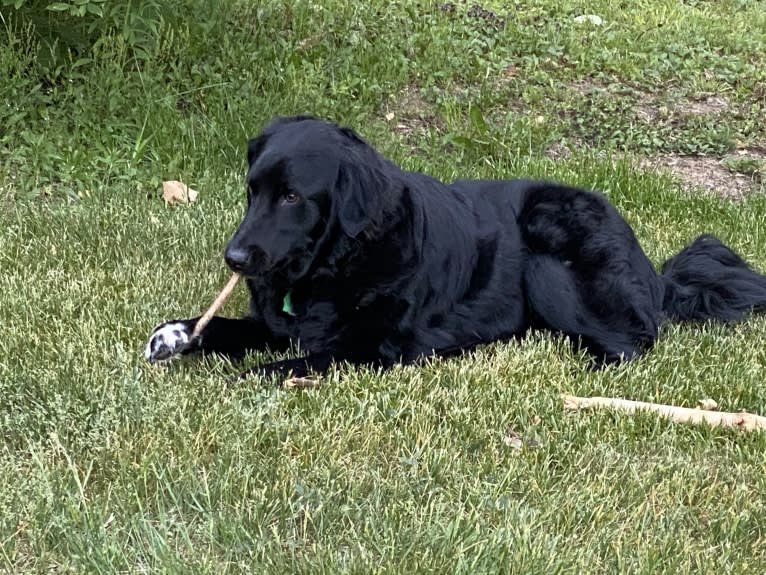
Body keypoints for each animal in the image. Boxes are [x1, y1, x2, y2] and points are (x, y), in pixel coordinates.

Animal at [147, 115, 766, 380]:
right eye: (253, 192)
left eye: (293, 196)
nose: (234, 259)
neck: (334, 265)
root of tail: (655, 273)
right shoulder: (279, 325)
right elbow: (227, 330)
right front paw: (174, 335)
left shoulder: (373, 349)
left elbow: (269, 369)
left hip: (548, 253)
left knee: (632, 342)